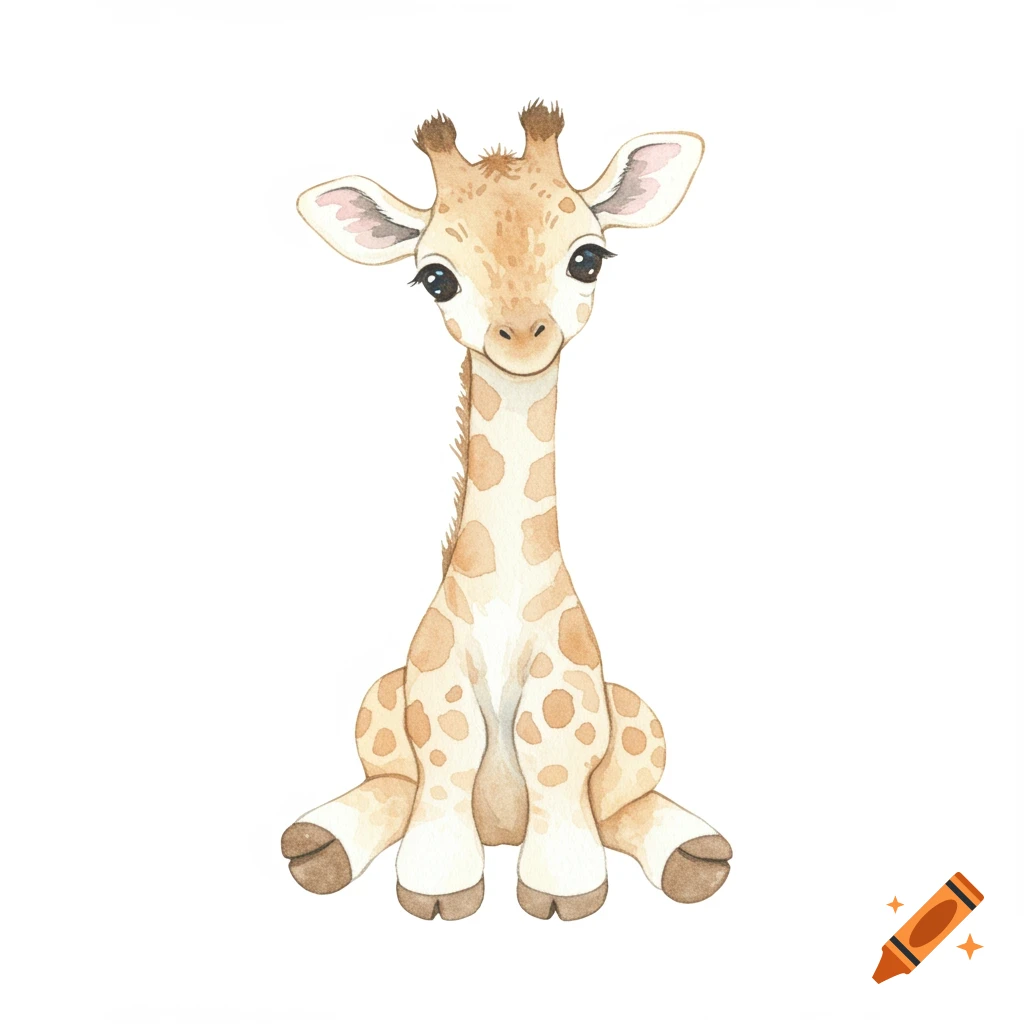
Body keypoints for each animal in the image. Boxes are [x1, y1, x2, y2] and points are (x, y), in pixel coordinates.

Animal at [281, 102, 732, 921]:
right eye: (436, 277)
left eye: (588, 258)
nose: (521, 335)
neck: (501, 605)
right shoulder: (431, 684)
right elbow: (449, 750)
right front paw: (438, 885)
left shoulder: (571, 686)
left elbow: (553, 754)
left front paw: (560, 887)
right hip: (376, 700)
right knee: (391, 785)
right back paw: (318, 841)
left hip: (639, 714)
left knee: (625, 801)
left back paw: (696, 853)